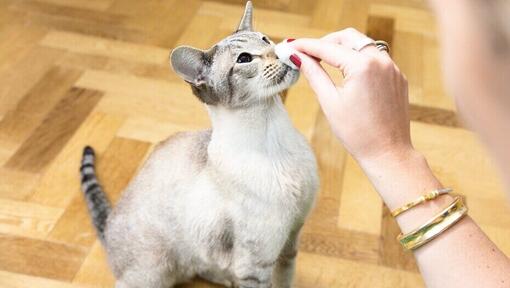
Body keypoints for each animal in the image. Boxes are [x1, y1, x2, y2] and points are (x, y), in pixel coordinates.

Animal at [79, 1, 318, 286]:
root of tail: (108, 224)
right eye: (245, 59)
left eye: (265, 39)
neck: (273, 139)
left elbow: (285, 279)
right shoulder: (256, 262)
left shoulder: (291, 239)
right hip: (153, 271)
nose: (279, 51)